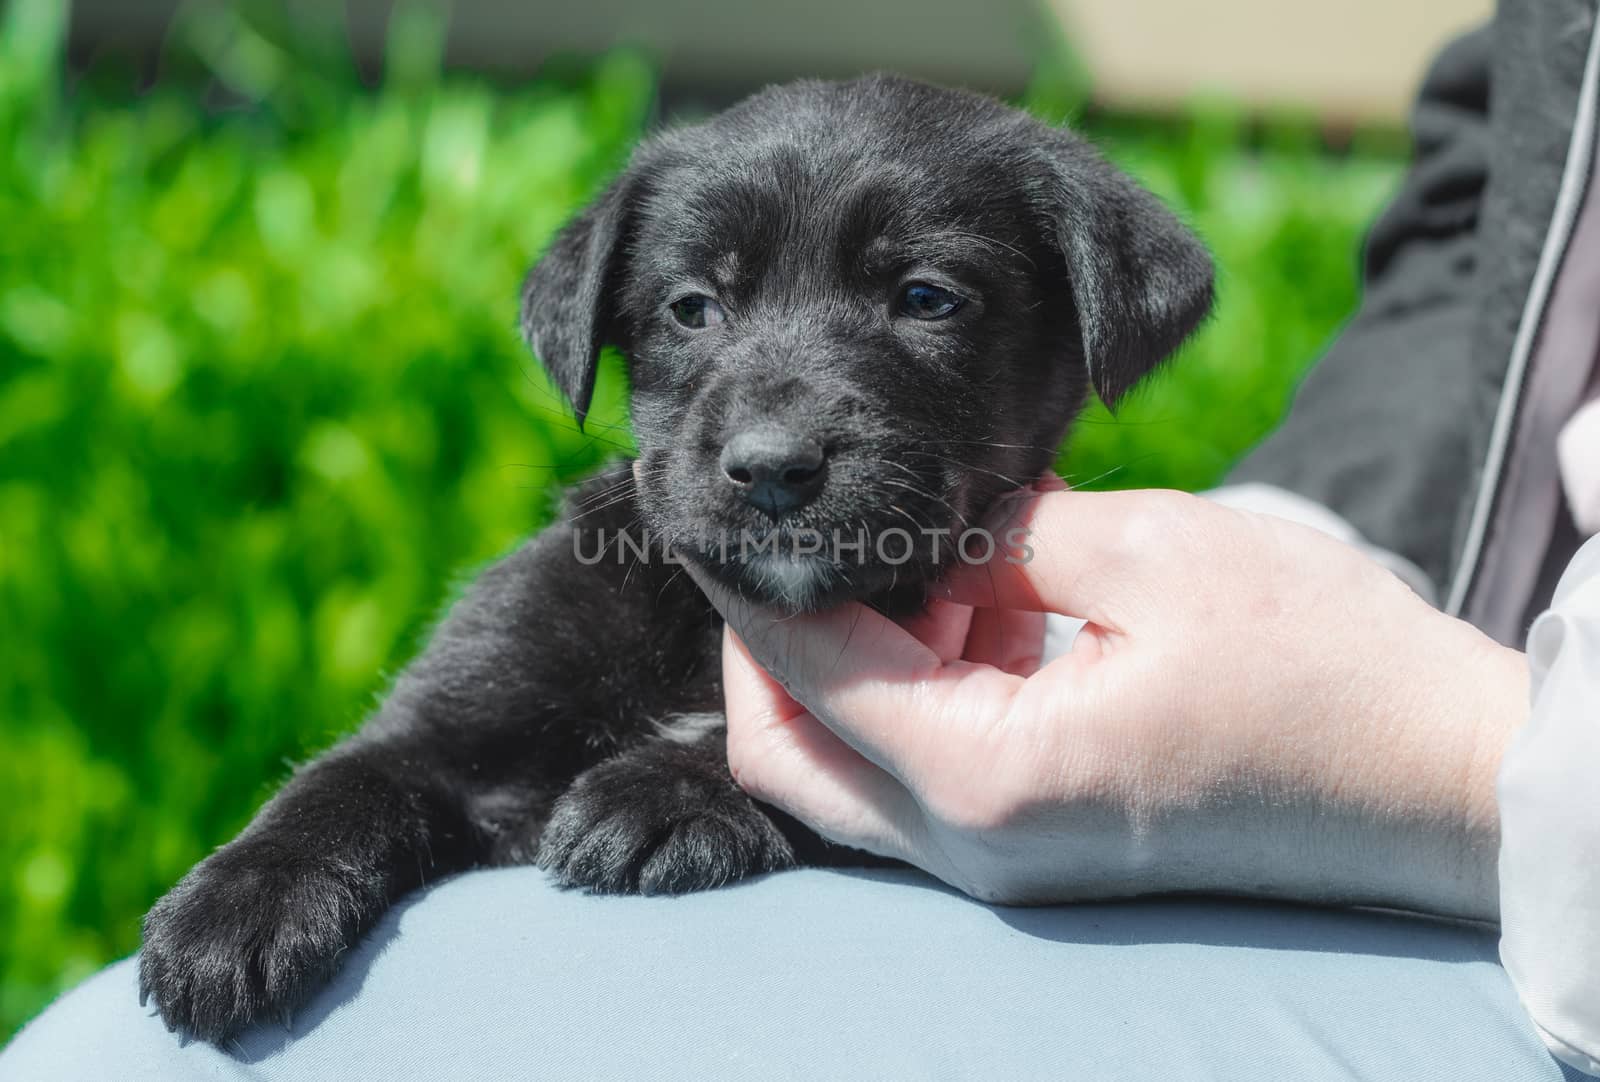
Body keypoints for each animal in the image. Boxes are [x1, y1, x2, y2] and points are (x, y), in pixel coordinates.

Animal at [140, 74, 1209, 1037]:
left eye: (926, 298)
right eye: (693, 308)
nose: (773, 467)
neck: (708, 620)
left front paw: (657, 791)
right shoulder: (454, 717)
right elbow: (345, 779)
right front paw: (232, 912)